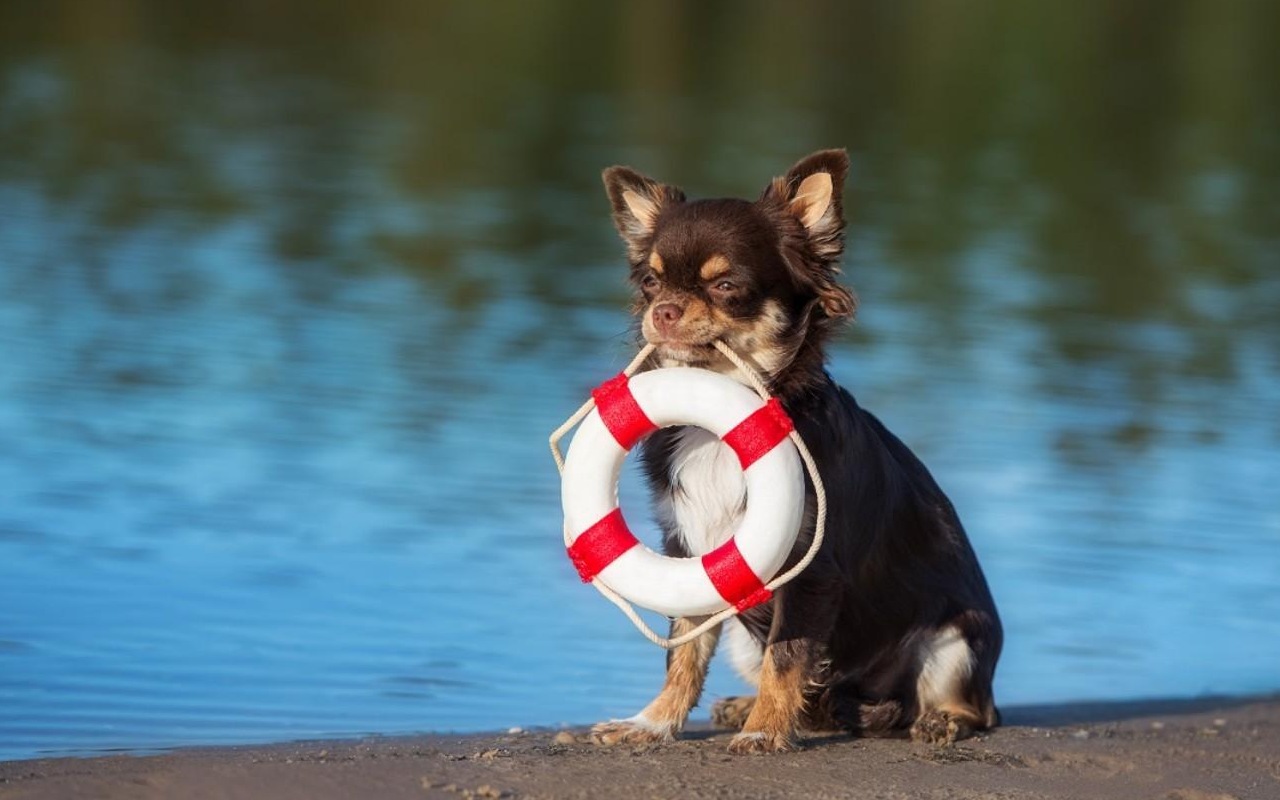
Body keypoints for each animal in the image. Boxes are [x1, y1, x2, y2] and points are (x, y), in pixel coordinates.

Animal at [588, 149, 998, 752]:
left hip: (956, 639)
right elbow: (685, 651)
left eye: (726, 285)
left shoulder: (809, 572)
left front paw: (764, 732)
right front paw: (653, 722)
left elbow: (786, 656)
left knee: (975, 708)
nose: (662, 310)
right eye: (649, 281)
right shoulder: (691, 554)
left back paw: (938, 719)